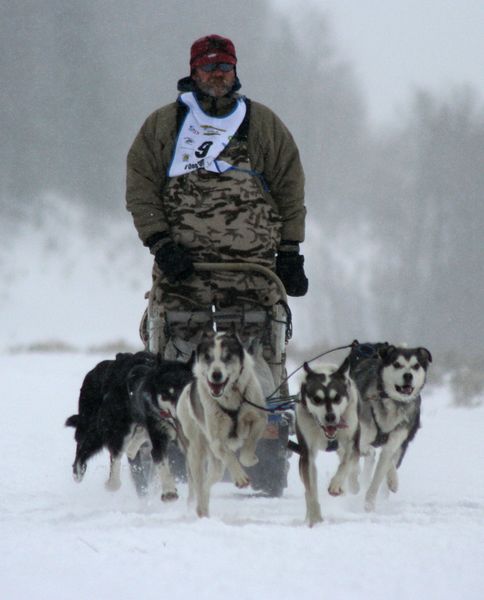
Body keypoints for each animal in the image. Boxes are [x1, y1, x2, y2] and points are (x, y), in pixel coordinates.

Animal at [65, 352, 193, 502]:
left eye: (186, 391)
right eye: (168, 394)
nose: (181, 412)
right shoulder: (157, 435)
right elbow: (160, 459)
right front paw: (169, 492)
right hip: (110, 429)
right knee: (96, 451)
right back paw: (84, 473)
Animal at [178, 330, 266, 516]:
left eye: (227, 357)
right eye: (208, 357)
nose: (216, 375)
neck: (230, 397)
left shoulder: (259, 419)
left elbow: (247, 450)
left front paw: (251, 459)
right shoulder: (217, 440)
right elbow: (230, 456)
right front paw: (240, 477)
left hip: (217, 466)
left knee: (207, 484)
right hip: (196, 452)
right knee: (199, 483)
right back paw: (201, 510)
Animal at [292, 358, 360, 528]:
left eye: (337, 397)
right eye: (317, 399)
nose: (330, 417)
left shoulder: (352, 443)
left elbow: (345, 464)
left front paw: (336, 485)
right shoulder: (307, 454)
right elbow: (311, 491)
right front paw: (315, 519)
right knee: (307, 491)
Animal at [350, 342, 432, 510]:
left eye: (416, 366)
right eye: (397, 364)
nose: (408, 376)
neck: (393, 402)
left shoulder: (395, 439)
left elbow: (380, 472)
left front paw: (369, 502)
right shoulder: (361, 434)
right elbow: (363, 451)